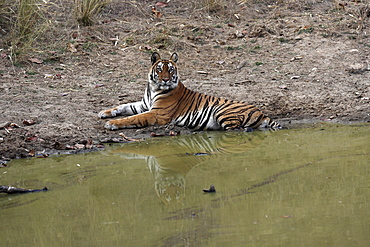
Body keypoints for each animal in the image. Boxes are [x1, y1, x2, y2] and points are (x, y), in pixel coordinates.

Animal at [98, 51, 280, 130]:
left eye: (171, 70)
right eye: (159, 69)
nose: (165, 79)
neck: (153, 88)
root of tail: (262, 113)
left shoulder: (157, 113)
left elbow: (133, 118)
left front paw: (112, 124)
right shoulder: (143, 104)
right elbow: (123, 106)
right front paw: (104, 113)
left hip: (222, 111)